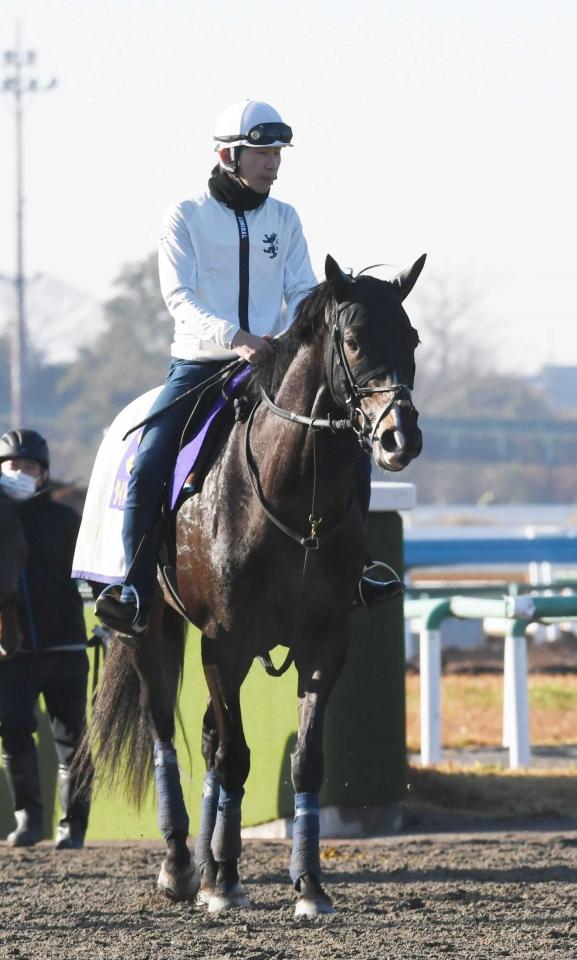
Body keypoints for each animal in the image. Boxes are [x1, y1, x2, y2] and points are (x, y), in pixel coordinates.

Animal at [88, 253, 426, 916]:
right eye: (353, 339)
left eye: (413, 340)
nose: (400, 437)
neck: (291, 495)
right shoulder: (224, 642)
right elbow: (237, 756)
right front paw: (220, 882)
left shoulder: (325, 642)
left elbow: (304, 761)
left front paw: (308, 885)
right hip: (151, 630)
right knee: (165, 728)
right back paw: (181, 866)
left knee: (208, 737)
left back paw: (212, 866)